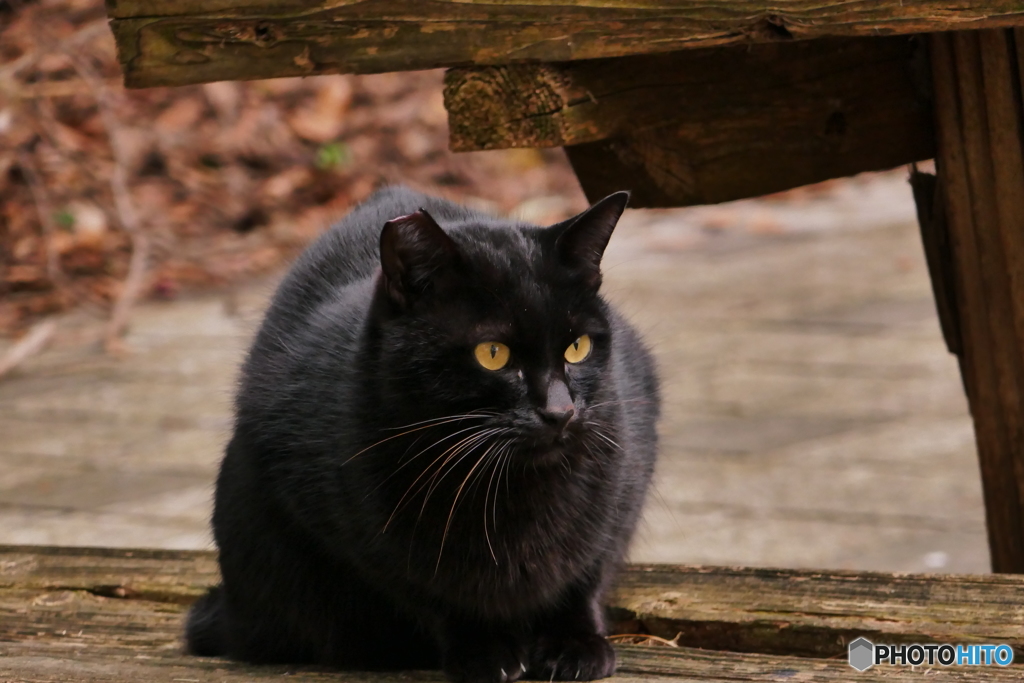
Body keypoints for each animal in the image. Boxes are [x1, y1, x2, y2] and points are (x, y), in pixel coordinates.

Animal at [187, 187, 659, 683]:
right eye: (493, 354)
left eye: (577, 347)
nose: (560, 411)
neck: (508, 488)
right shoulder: (357, 533)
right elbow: (431, 592)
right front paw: (484, 650)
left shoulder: (626, 476)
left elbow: (588, 570)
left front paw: (575, 643)